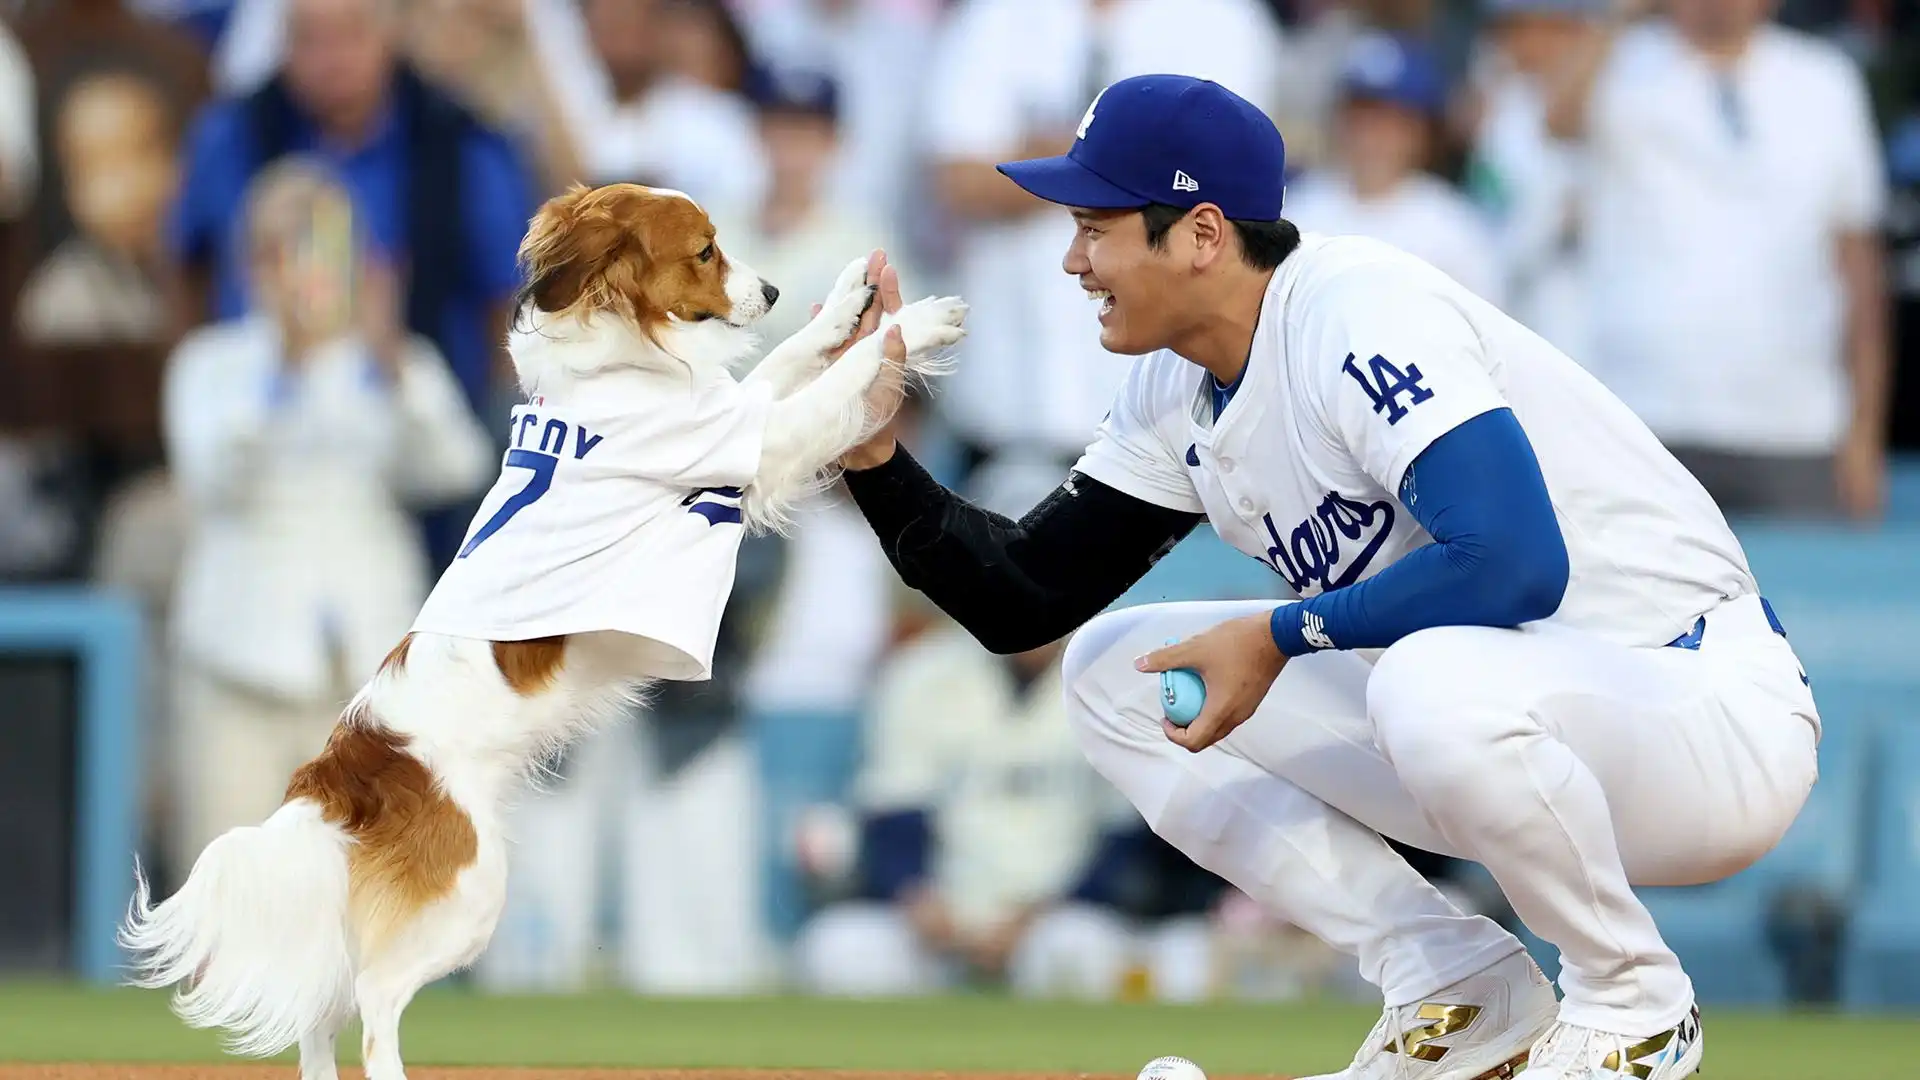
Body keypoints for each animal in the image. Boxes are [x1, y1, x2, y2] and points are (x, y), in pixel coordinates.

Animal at [116, 184, 960, 1076]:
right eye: (704, 251)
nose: (766, 291)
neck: (615, 364)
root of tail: (343, 771)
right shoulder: (749, 444)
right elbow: (836, 384)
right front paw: (921, 323)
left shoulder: (732, 415)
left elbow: (788, 361)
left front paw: (849, 303)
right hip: (471, 894)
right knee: (374, 1003)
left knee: (323, 1005)